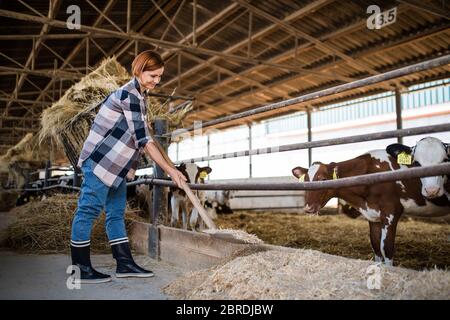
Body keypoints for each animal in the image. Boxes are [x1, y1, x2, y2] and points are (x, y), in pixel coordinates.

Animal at [294, 149, 448, 264]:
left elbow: (387, 249)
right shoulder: (373, 216)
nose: (308, 208)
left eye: (323, 179)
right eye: (305, 180)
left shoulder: (391, 212)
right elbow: (376, 247)